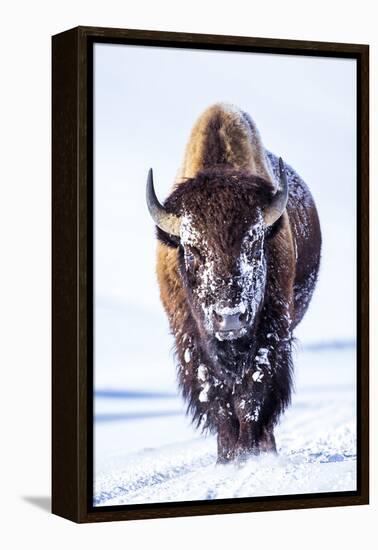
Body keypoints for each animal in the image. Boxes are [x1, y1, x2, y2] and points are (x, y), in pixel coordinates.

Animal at [146, 104, 320, 466]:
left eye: (254, 244)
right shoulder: (190, 340)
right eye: (192, 249)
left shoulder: (271, 333)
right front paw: (228, 458)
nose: (229, 318)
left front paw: (249, 454)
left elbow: (252, 393)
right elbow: (216, 397)